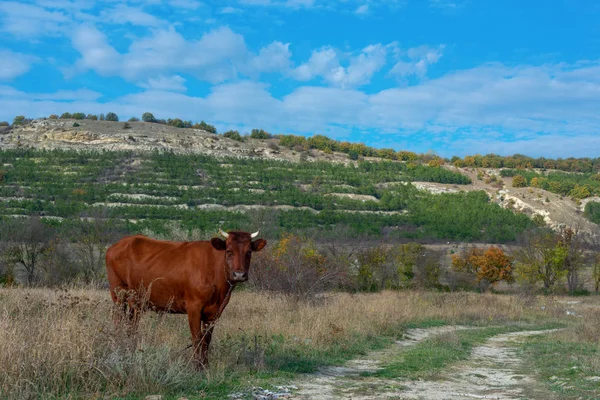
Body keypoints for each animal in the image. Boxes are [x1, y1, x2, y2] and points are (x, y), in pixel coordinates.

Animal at [105, 228, 268, 368]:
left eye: (248, 252)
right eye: (229, 251)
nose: (239, 274)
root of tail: (121, 243)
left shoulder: (215, 311)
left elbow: (206, 339)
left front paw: (204, 365)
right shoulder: (193, 306)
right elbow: (196, 337)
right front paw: (196, 366)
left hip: (136, 301)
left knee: (131, 325)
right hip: (118, 293)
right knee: (118, 321)